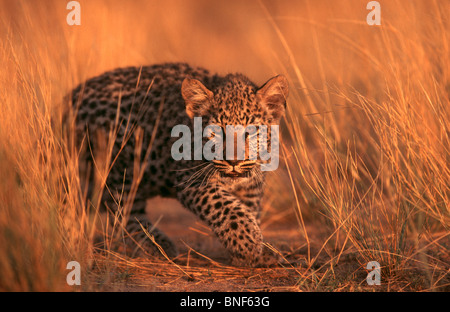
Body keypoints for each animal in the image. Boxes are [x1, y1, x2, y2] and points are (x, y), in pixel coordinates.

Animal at [70, 62, 288, 266]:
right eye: (216, 132)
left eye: (251, 131)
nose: (234, 161)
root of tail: (71, 98)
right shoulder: (190, 179)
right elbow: (224, 207)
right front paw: (248, 243)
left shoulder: (252, 186)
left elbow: (248, 209)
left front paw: (253, 251)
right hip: (118, 166)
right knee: (123, 211)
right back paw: (155, 245)